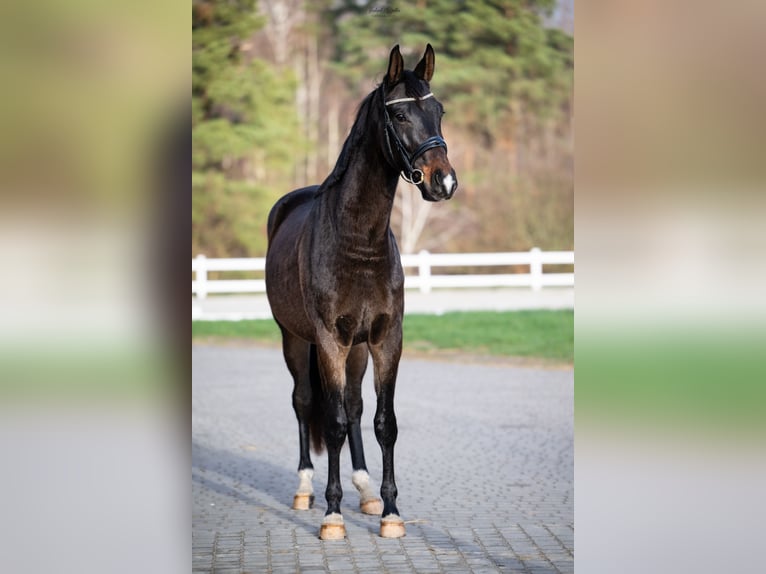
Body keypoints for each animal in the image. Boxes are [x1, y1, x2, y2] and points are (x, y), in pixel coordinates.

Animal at [265, 44, 457, 540]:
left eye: (438, 111)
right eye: (402, 115)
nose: (444, 182)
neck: (358, 241)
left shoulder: (385, 339)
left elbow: (382, 422)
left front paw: (390, 511)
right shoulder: (329, 339)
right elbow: (329, 422)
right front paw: (333, 516)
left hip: (356, 348)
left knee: (352, 407)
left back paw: (366, 491)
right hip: (296, 340)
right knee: (304, 403)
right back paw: (305, 490)